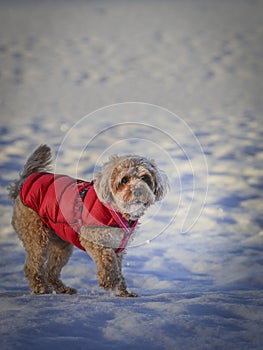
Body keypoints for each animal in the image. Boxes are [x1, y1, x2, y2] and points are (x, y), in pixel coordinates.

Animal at [9, 144, 169, 296]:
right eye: (124, 180)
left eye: (145, 178)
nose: (138, 190)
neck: (115, 211)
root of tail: (24, 181)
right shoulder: (94, 238)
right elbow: (107, 260)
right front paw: (110, 281)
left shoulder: (118, 245)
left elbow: (118, 266)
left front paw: (124, 292)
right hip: (36, 234)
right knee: (32, 266)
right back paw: (40, 288)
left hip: (61, 244)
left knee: (51, 270)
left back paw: (63, 289)